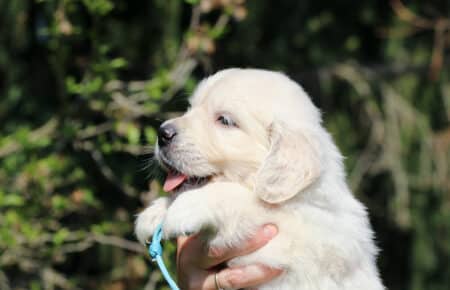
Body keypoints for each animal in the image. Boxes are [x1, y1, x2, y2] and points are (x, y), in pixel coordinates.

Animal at [135, 68, 384, 290]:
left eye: (224, 120)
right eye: (190, 108)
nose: (162, 134)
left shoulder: (303, 236)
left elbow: (247, 202)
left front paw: (183, 208)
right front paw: (154, 213)